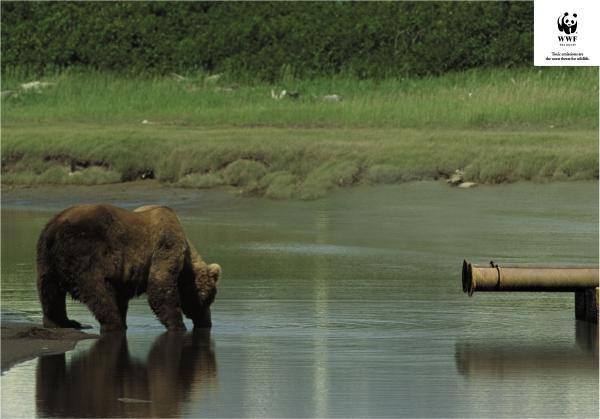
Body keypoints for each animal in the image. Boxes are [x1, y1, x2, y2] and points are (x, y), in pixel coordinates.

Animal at [36, 205, 221, 334]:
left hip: (46, 257)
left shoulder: (123, 274)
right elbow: (160, 287)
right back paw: (112, 323)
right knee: (98, 291)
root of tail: (55, 226)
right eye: (208, 299)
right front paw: (179, 325)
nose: (207, 322)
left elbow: (121, 297)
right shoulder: (166, 246)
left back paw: (61, 322)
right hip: (86, 252)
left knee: (49, 292)